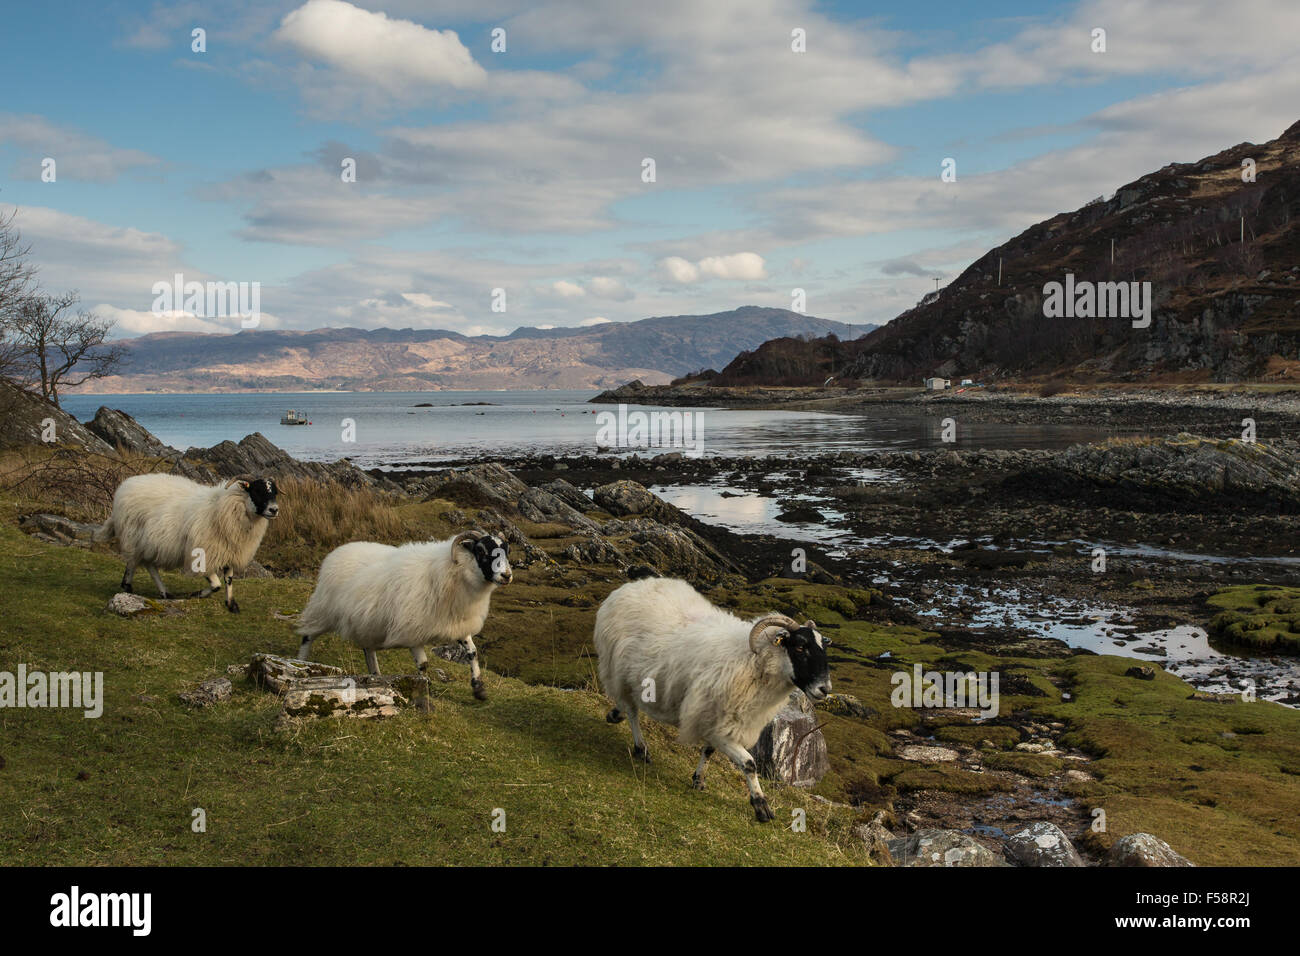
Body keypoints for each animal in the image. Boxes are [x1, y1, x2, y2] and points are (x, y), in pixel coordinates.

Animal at [94, 476, 282, 616]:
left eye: (274, 492)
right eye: (257, 491)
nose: (274, 510)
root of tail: (125, 485)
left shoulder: (230, 552)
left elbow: (228, 580)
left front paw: (231, 605)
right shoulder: (203, 552)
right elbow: (216, 585)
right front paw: (196, 595)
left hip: (150, 543)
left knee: (148, 564)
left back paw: (163, 592)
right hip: (134, 537)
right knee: (134, 561)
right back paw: (129, 586)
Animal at [295, 528, 512, 697]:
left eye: (506, 550)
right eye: (481, 550)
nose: (507, 575)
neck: (453, 570)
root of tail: (337, 551)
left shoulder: (456, 623)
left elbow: (472, 652)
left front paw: (478, 688)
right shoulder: (412, 628)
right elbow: (423, 664)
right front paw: (425, 689)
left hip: (366, 622)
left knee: (368, 649)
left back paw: (375, 674)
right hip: (324, 609)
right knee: (308, 635)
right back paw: (300, 662)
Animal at [595, 572, 832, 827]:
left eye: (823, 649)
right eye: (800, 647)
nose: (825, 689)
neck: (753, 662)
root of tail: (629, 587)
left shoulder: (717, 718)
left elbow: (708, 751)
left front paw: (698, 779)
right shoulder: (716, 724)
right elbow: (749, 763)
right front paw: (761, 805)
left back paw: (615, 715)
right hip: (621, 671)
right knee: (632, 711)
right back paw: (640, 747)